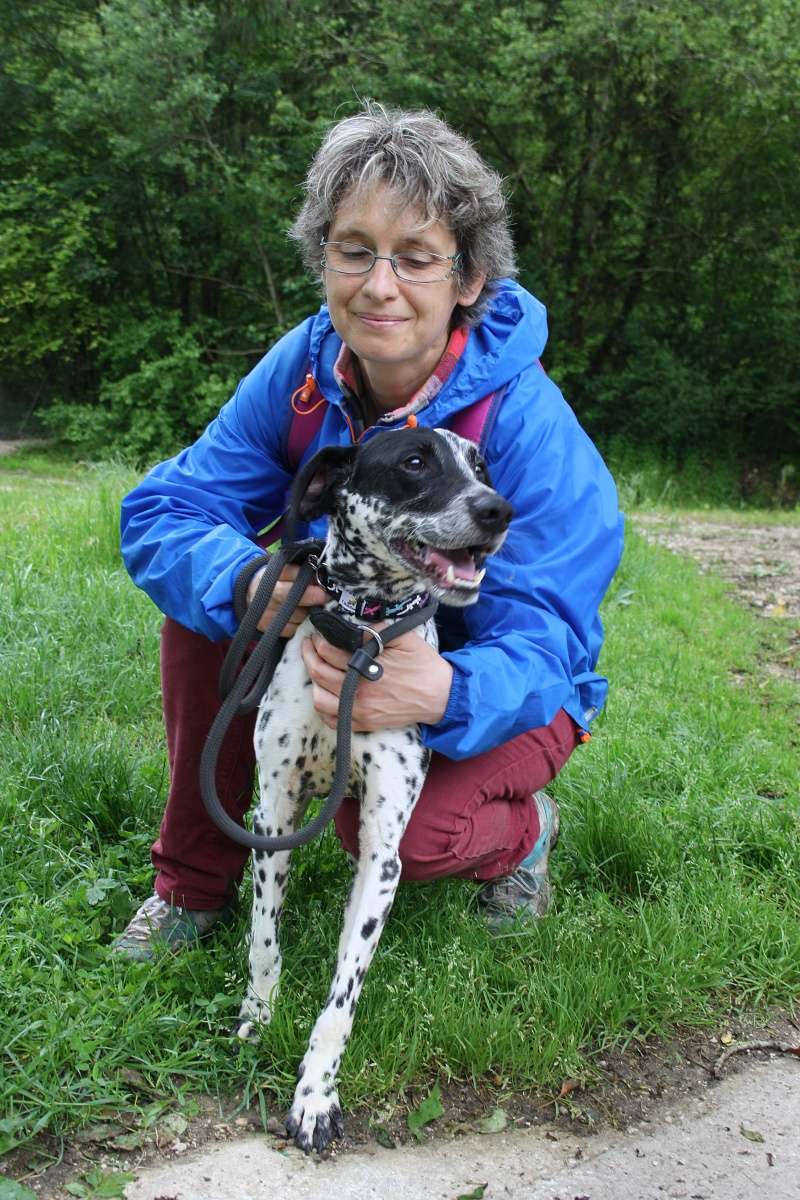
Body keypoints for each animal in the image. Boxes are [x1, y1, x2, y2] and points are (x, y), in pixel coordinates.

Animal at [237, 429, 513, 1152]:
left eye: (481, 465)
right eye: (414, 462)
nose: (498, 509)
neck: (361, 630)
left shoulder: (383, 854)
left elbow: (341, 999)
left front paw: (314, 1095)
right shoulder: (272, 819)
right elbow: (263, 940)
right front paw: (257, 1013)